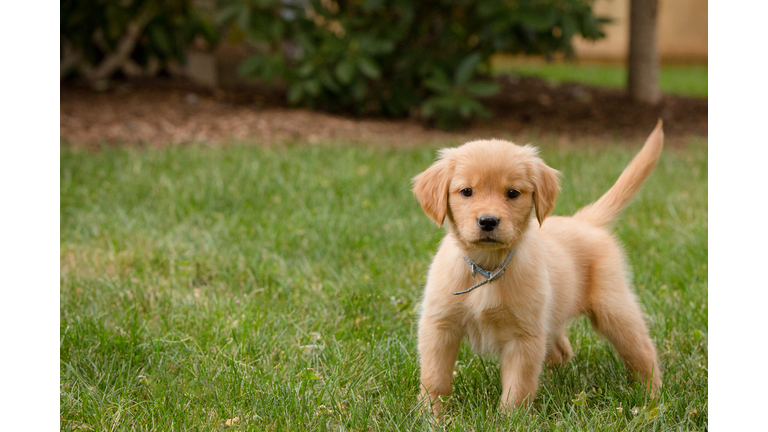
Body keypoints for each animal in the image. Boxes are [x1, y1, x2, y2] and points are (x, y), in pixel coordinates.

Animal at [412, 122, 664, 416]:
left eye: (512, 193)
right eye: (466, 191)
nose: (488, 221)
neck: (488, 269)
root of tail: (585, 221)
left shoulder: (525, 335)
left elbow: (518, 385)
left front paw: (509, 418)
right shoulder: (439, 326)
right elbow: (435, 377)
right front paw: (432, 414)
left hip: (612, 307)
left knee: (642, 349)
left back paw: (651, 394)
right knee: (562, 349)